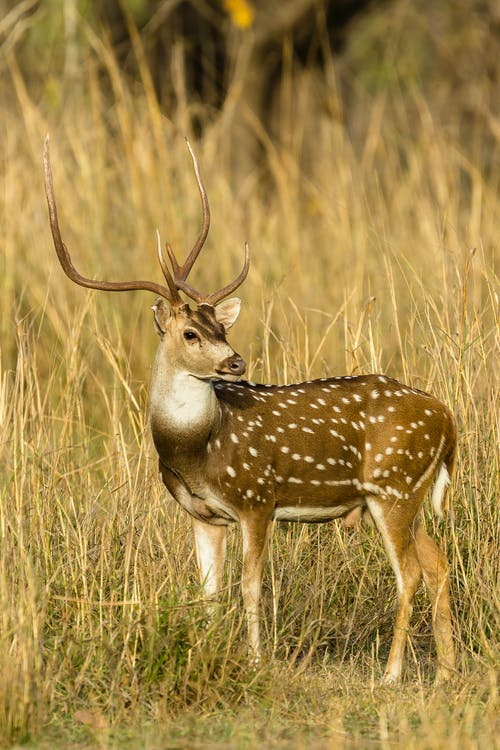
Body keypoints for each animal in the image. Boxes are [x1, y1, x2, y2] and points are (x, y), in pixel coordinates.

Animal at [44, 135, 458, 688]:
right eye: (190, 332)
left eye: (220, 326)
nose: (235, 361)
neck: (198, 449)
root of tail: (448, 419)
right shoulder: (202, 514)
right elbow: (209, 592)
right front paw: (207, 650)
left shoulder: (258, 498)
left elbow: (251, 585)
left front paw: (258, 661)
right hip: (400, 496)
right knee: (437, 562)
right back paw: (446, 672)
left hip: (394, 485)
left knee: (409, 571)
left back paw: (391, 675)